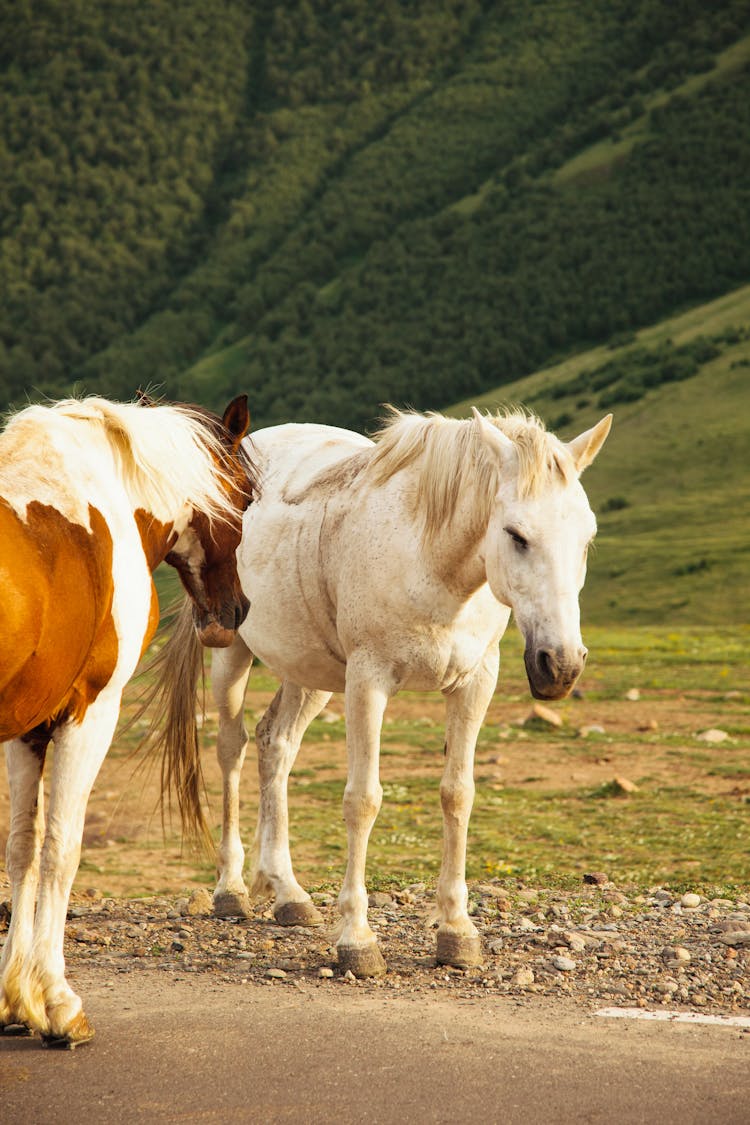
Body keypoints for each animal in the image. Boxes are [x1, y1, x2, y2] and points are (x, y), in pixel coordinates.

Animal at [0, 393, 256, 1044]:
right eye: (247, 498)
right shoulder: (90, 713)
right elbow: (61, 849)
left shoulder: (27, 726)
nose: (236, 611)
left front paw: (16, 1000)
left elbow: (22, 848)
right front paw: (58, 1004)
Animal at [158, 407, 611, 976]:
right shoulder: (368, 681)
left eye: (587, 538)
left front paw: (457, 932)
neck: (431, 562)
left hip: (309, 675)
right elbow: (363, 800)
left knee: (274, 745)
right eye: (516, 534)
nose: (562, 665)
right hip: (231, 653)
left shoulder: (475, 683)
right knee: (231, 748)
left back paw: (288, 894)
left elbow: (458, 794)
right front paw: (356, 939)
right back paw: (231, 889)